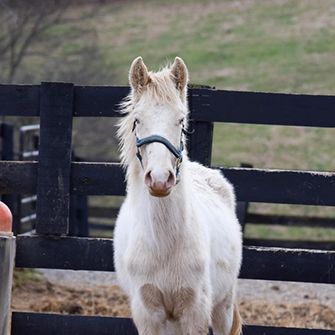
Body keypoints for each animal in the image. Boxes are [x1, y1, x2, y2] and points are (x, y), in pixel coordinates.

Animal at [114, 56, 243, 334]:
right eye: (137, 120)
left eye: (181, 121)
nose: (160, 180)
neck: (164, 245)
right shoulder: (148, 314)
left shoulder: (195, 312)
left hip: (223, 306)